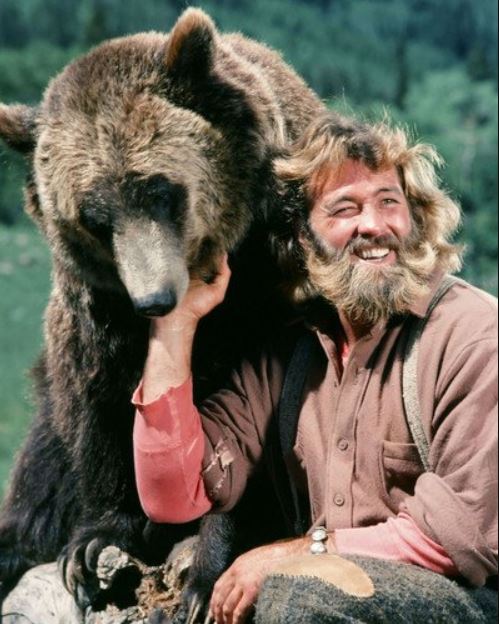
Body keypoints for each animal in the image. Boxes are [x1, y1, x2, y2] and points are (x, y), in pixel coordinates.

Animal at [0, 7, 324, 616]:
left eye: (158, 190)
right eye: (94, 216)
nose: (155, 299)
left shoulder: (270, 294)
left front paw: (206, 574)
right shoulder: (97, 312)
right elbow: (100, 406)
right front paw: (96, 541)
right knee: (41, 473)